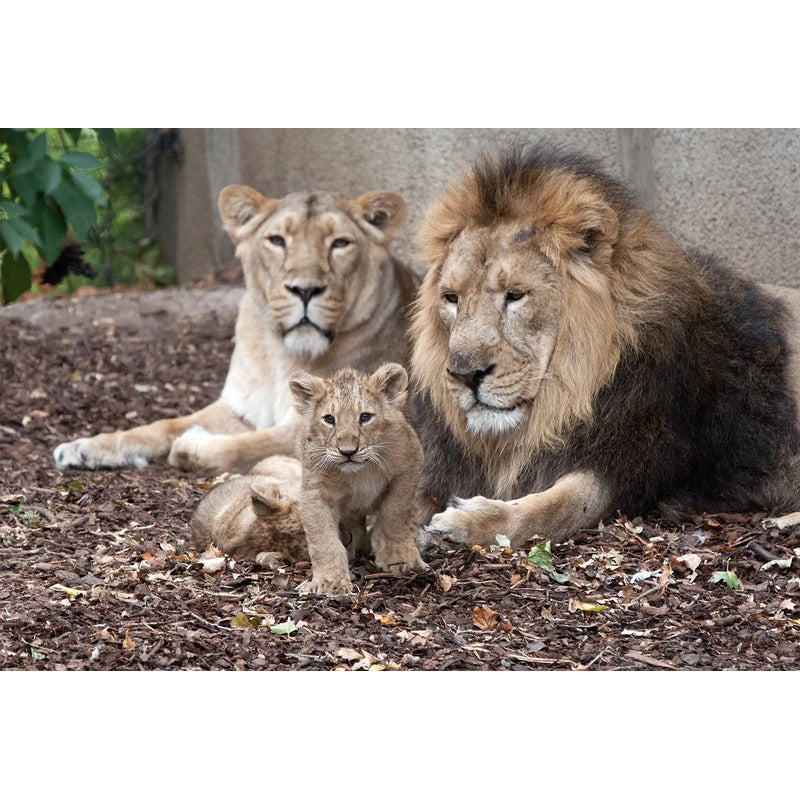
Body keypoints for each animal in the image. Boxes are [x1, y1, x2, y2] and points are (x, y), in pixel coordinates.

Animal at [53, 186, 416, 475]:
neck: (282, 354)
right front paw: (86, 447)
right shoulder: (240, 407)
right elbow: (164, 425)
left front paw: (193, 445)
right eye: (277, 241)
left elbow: (250, 444)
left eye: (340, 243)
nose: (305, 290)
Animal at [289, 363, 427, 595]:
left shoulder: (410, 465)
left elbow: (395, 514)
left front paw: (399, 558)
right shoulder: (315, 491)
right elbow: (323, 539)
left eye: (365, 417)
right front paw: (330, 581)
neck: (360, 472)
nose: (348, 452)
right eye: (329, 419)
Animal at [410, 144, 800, 551]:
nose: (464, 374)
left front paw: (467, 521)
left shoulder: (630, 465)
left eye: (515, 295)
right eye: (451, 298)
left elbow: (555, 507)